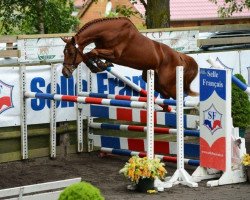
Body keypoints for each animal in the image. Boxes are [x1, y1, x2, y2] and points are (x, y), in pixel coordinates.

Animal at [61, 17, 198, 99]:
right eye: (64, 52)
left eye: (71, 53)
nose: (65, 73)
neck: (107, 32)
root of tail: (179, 56)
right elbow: (88, 54)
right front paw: (99, 65)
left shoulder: (115, 54)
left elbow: (92, 52)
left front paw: (99, 65)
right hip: (152, 78)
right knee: (165, 94)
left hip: (168, 83)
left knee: (179, 96)